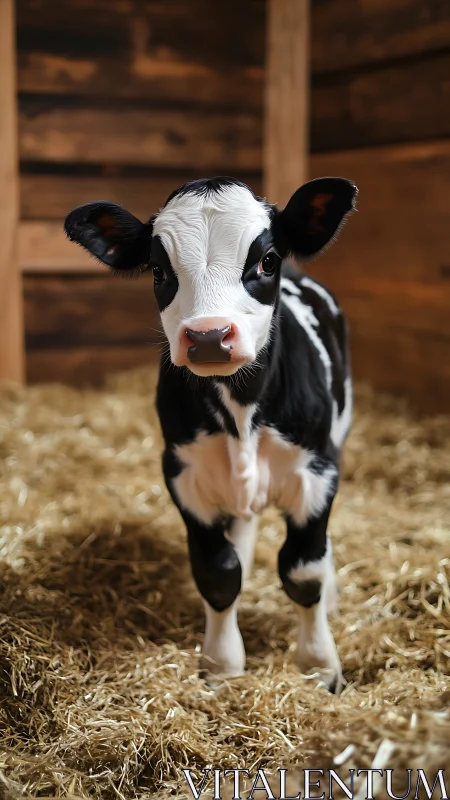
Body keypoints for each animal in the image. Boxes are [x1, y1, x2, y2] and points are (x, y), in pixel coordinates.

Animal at [64, 175, 357, 694]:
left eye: (266, 260)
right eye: (159, 269)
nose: (207, 337)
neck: (240, 411)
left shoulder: (318, 472)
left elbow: (303, 572)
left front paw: (319, 666)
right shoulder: (184, 475)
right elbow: (219, 573)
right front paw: (222, 666)